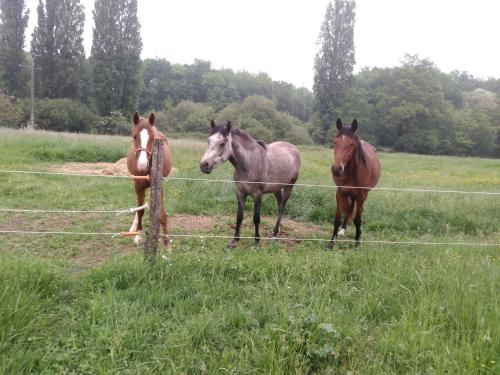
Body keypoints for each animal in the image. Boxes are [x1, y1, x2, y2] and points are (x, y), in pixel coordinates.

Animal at [126, 111, 173, 247]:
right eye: (134, 136)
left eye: (152, 138)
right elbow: (140, 211)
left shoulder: (159, 186)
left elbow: (161, 212)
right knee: (139, 207)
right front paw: (138, 235)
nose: (142, 165)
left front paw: (167, 241)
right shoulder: (138, 185)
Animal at [326, 119, 380, 251]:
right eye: (335, 142)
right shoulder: (340, 192)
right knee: (349, 208)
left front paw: (357, 244)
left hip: (363, 196)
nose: (336, 169)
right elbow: (337, 219)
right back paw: (342, 230)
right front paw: (331, 243)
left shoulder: (361, 196)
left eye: (351, 144)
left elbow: (358, 220)